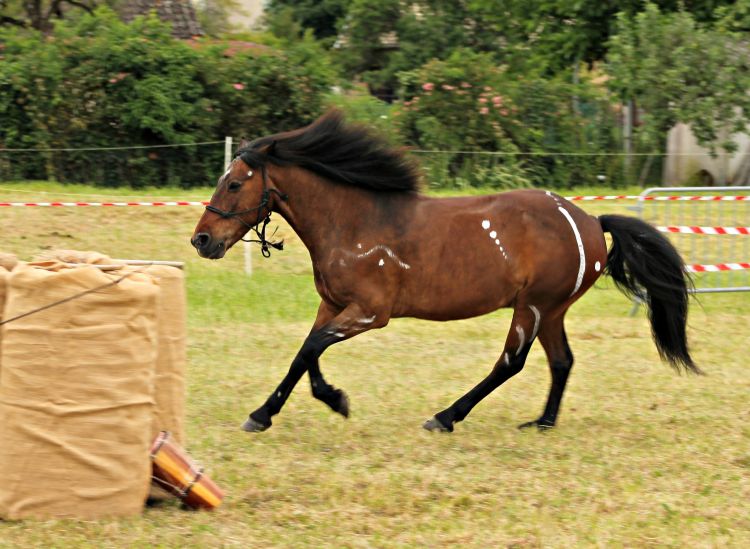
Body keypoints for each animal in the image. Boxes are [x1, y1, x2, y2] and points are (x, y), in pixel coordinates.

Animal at [192, 111, 700, 432]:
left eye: (233, 183)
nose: (201, 240)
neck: (353, 221)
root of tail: (592, 221)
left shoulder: (369, 312)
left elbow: (311, 348)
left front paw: (312, 405)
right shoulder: (333, 305)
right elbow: (305, 352)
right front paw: (293, 407)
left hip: (534, 305)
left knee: (510, 363)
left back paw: (446, 416)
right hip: (552, 310)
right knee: (561, 361)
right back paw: (542, 422)